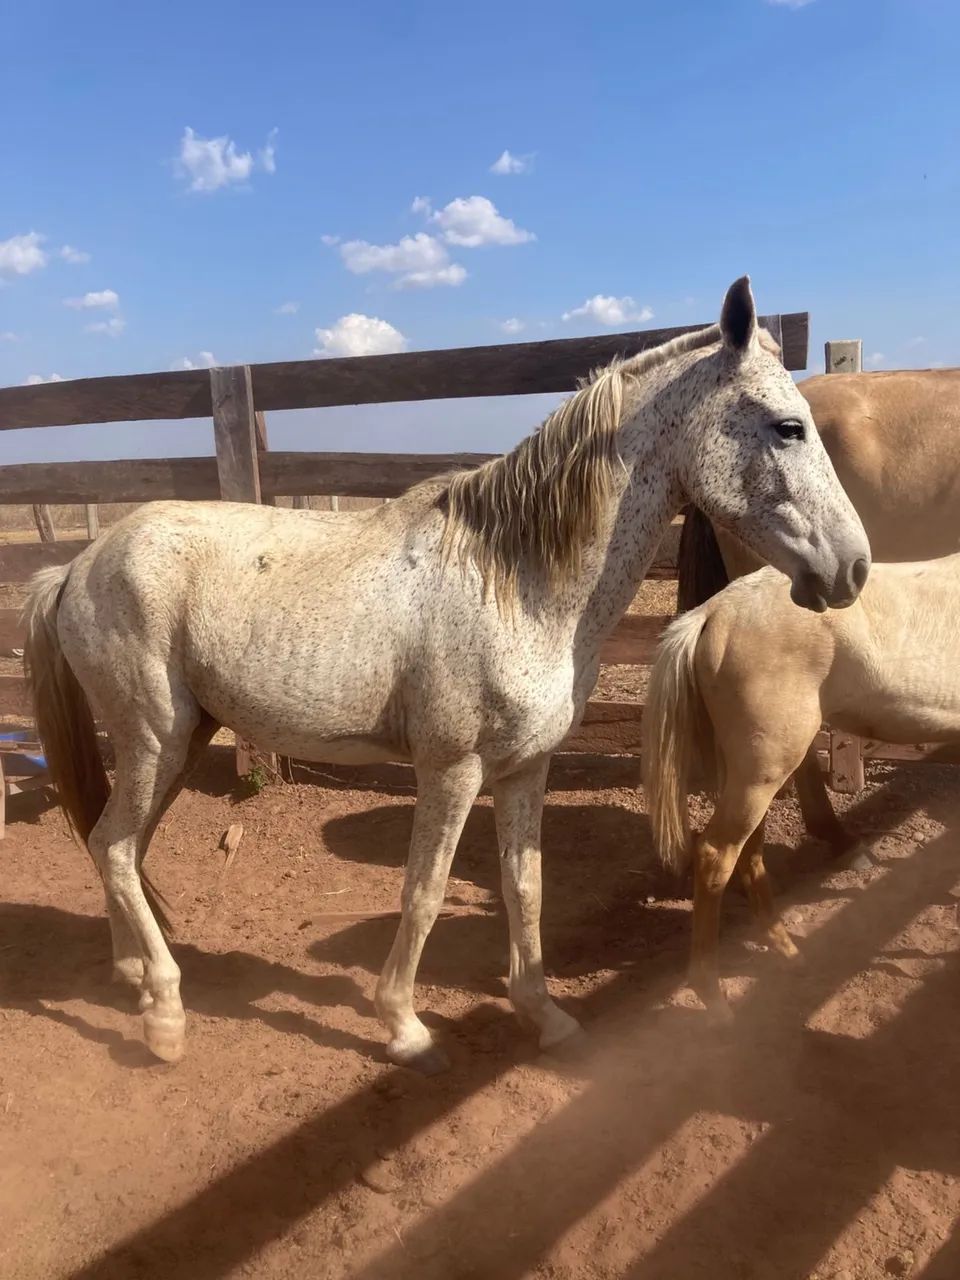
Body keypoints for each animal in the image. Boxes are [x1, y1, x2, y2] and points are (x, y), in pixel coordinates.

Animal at [23, 277, 869, 1071]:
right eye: (788, 427)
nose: (853, 569)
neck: (514, 579)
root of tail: (77, 567)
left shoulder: (527, 768)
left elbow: (526, 887)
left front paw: (546, 1017)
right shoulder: (452, 769)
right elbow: (424, 892)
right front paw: (403, 1026)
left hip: (181, 741)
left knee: (116, 846)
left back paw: (135, 977)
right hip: (153, 740)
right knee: (116, 848)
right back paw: (165, 1015)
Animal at [644, 552, 960, 1020]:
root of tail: (714, 613)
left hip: (749, 771)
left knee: (749, 854)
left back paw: (789, 954)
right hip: (765, 768)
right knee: (716, 855)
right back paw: (714, 999)